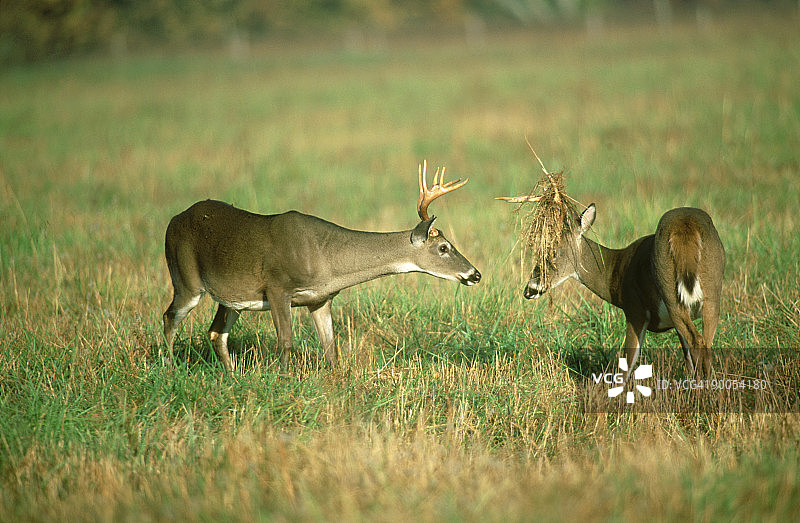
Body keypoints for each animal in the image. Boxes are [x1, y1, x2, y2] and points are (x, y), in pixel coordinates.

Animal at [162, 161, 481, 371]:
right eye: (443, 248)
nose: (475, 274)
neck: (326, 259)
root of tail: (173, 220)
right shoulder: (277, 287)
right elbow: (286, 342)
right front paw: (282, 380)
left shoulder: (321, 298)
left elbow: (331, 348)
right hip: (185, 278)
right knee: (170, 317)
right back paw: (168, 366)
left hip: (231, 298)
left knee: (216, 332)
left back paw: (231, 376)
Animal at [498, 195, 725, 377]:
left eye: (552, 252)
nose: (530, 289)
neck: (616, 273)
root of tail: (685, 228)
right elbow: (688, 362)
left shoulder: (634, 309)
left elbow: (627, 365)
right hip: (712, 292)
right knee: (705, 346)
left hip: (670, 294)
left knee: (698, 343)